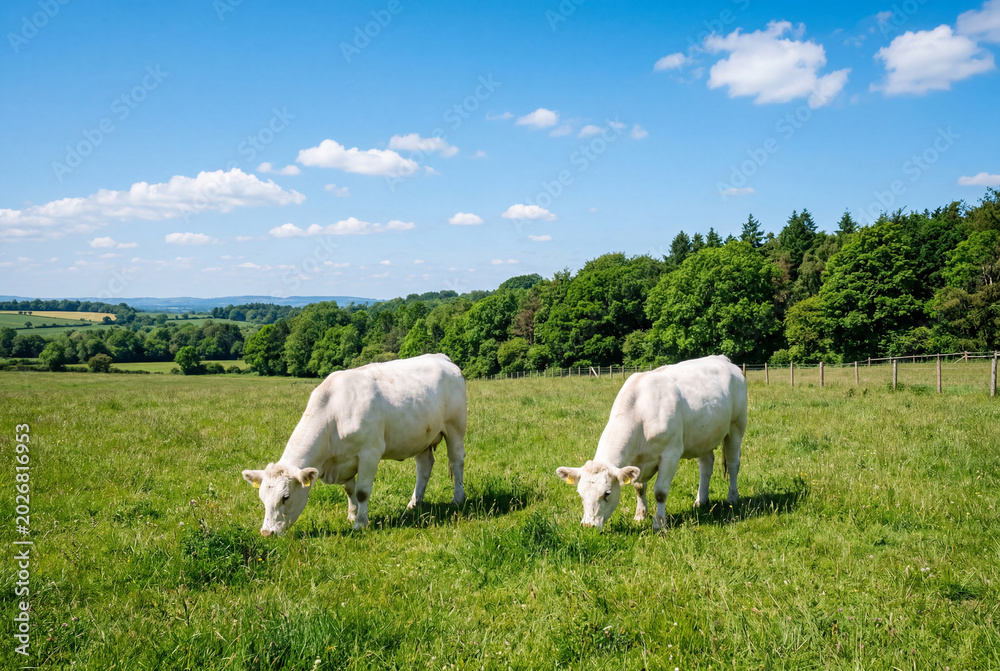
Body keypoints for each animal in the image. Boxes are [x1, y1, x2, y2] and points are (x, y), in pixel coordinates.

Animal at [242, 353, 467, 535]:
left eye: (286, 497)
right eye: (262, 498)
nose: (267, 533)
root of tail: (441, 358)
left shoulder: (370, 453)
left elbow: (362, 491)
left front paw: (360, 523)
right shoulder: (343, 460)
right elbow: (349, 490)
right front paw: (352, 515)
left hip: (455, 427)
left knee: (456, 461)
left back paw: (458, 498)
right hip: (421, 436)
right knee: (424, 466)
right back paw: (414, 502)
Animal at [556, 355, 746, 530]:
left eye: (607, 493)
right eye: (580, 493)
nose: (588, 525)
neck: (640, 413)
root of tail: (722, 358)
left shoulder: (671, 454)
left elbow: (660, 492)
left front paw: (659, 523)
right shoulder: (637, 461)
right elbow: (639, 487)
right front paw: (640, 516)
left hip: (736, 426)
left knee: (733, 463)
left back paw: (732, 497)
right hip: (703, 436)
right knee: (706, 465)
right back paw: (701, 500)